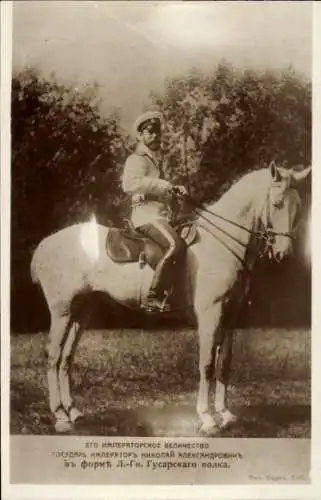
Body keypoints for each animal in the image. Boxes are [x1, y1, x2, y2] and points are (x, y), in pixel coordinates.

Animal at [30, 164, 310, 434]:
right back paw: (60, 417)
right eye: (277, 203)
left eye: (298, 208)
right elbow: (207, 364)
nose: (283, 254)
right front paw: (207, 418)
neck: (221, 245)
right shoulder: (210, 314)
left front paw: (226, 415)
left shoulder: (230, 316)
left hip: (82, 310)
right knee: (53, 355)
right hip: (62, 311)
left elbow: (224, 364)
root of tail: (45, 244)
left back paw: (73, 412)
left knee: (66, 358)